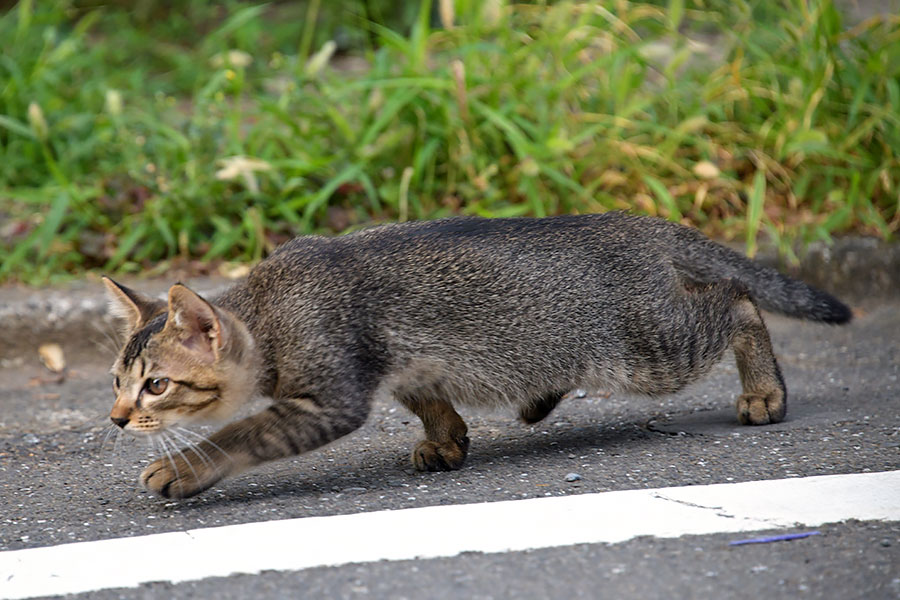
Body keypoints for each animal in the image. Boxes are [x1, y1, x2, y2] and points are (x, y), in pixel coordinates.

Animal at [105, 213, 852, 500]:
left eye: (157, 386)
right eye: (115, 380)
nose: (115, 419)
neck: (270, 305)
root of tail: (634, 221)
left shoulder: (330, 397)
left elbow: (242, 432)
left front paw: (184, 468)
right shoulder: (407, 362)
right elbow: (429, 401)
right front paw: (446, 439)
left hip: (652, 345)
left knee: (737, 300)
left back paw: (764, 390)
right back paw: (539, 397)